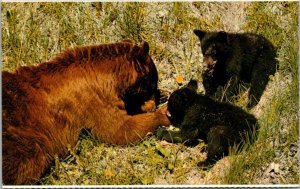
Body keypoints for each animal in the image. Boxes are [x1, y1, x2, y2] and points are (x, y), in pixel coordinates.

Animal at [2, 41, 171, 185]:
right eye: (153, 82)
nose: (154, 103)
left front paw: (163, 95)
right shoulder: (92, 99)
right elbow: (118, 129)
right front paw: (163, 113)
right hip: (27, 139)